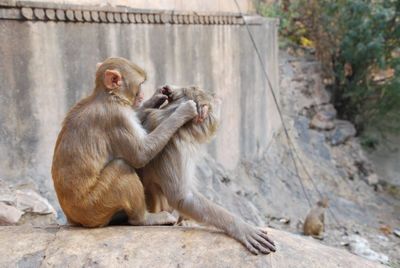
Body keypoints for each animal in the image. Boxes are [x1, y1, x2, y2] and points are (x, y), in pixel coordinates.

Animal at [51, 57, 198, 227]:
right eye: (140, 84)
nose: (142, 95)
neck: (109, 96)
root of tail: (73, 219)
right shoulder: (117, 117)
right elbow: (140, 154)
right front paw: (183, 111)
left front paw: (155, 98)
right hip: (94, 206)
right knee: (121, 166)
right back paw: (144, 218)